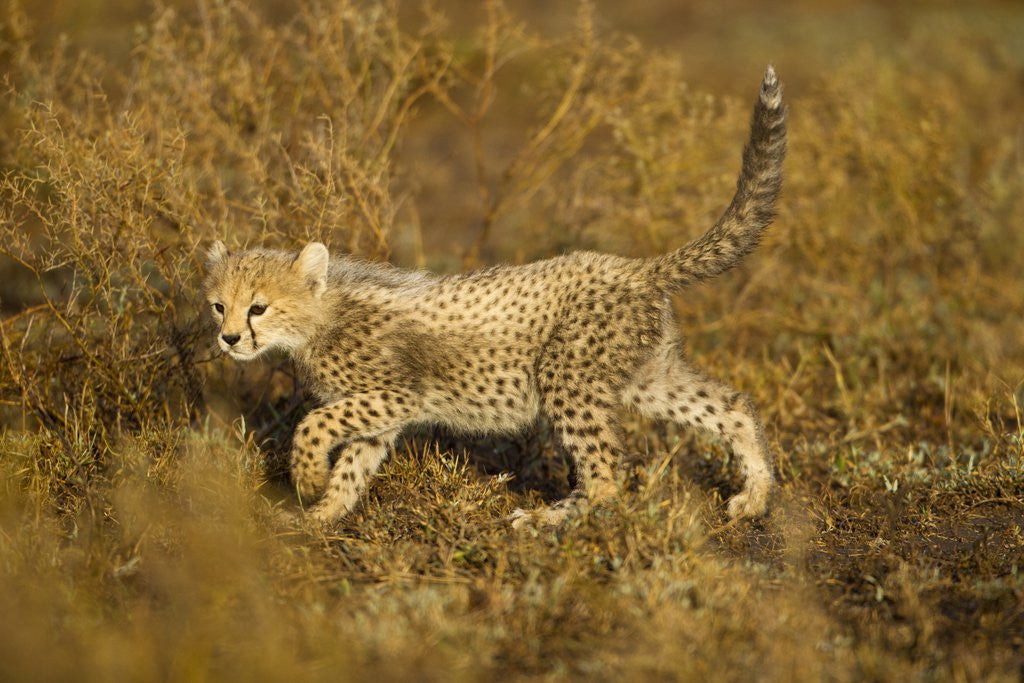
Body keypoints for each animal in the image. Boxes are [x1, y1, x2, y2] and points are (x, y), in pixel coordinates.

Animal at [203, 66, 787, 528]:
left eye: (258, 307)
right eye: (218, 306)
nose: (229, 339)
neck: (319, 320)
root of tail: (634, 266)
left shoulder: (398, 393)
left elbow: (313, 423)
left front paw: (305, 480)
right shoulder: (381, 412)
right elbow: (353, 465)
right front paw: (322, 515)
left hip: (568, 376)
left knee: (605, 474)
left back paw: (549, 520)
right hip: (645, 377)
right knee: (731, 406)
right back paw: (754, 498)